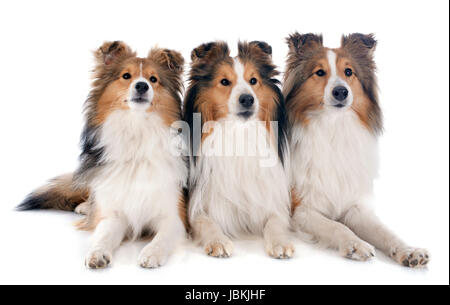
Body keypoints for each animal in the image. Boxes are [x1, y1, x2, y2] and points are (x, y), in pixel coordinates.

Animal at [17, 41, 188, 268]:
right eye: (126, 76)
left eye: (154, 79)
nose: (142, 86)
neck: (137, 132)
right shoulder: (114, 214)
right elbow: (104, 234)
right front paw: (97, 253)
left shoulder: (173, 216)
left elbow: (163, 237)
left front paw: (151, 253)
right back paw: (85, 207)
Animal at [184, 41, 296, 256]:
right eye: (224, 81)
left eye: (253, 80)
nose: (247, 99)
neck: (238, 133)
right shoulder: (198, 204)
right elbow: (206, 222)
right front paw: (218, 241)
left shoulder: (271, 201)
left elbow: (275, 222)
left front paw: (280, 243)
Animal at [286, 32, 430, 268]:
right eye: (319, 72)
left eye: (348, 72)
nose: (341, 92)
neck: (333, 129)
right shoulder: (301, 209)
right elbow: (336, 226)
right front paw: (355, 244)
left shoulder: (354, 206)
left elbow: (383, 231)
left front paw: (408, 250)